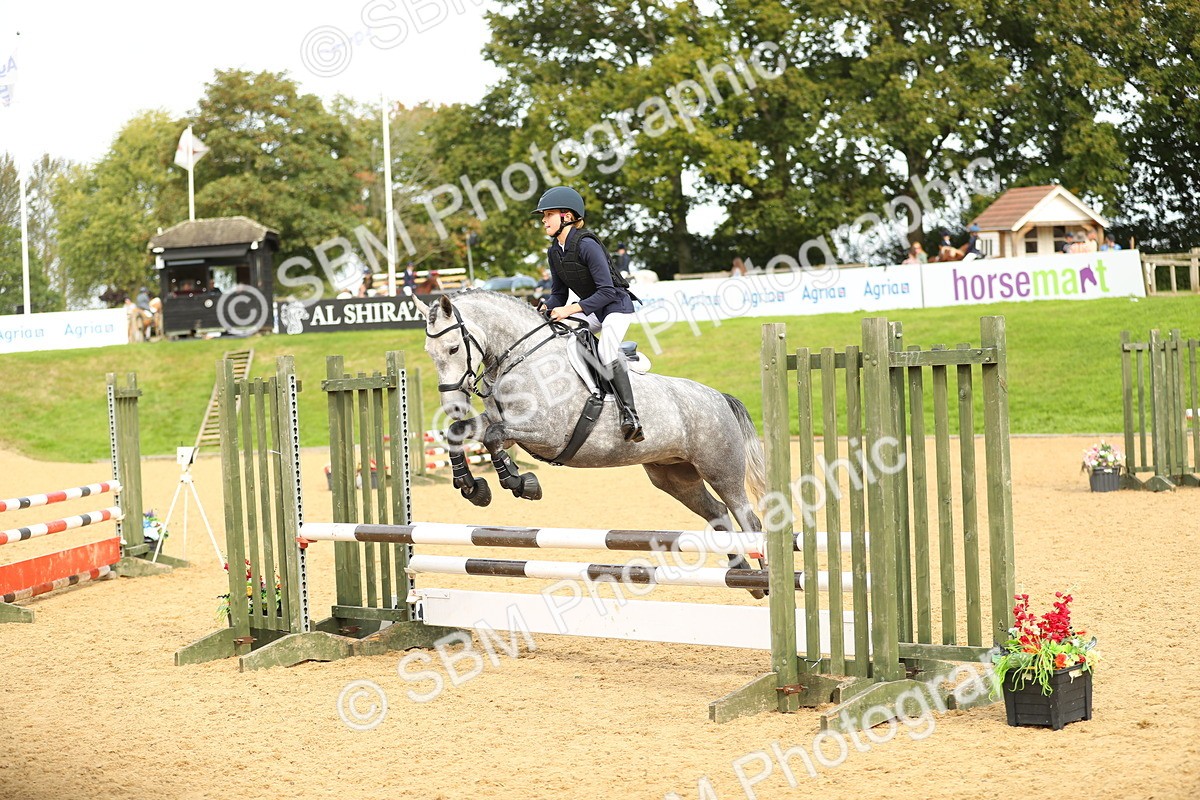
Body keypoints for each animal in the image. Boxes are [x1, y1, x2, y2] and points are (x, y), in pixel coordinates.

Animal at [413, 290, 768, 589]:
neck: (524, 359)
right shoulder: (507, 425)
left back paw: (763, 580)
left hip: (720, 468)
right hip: (674, 476)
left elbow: (492, 437)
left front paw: (520, 482)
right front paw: (472, 487)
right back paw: (741, 574)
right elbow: (462, 434)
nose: (453, 407)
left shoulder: (546, 433)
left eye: (454, 348)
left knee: (748, 518)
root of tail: (719, 397)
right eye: (429, 352)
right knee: (717, 513)